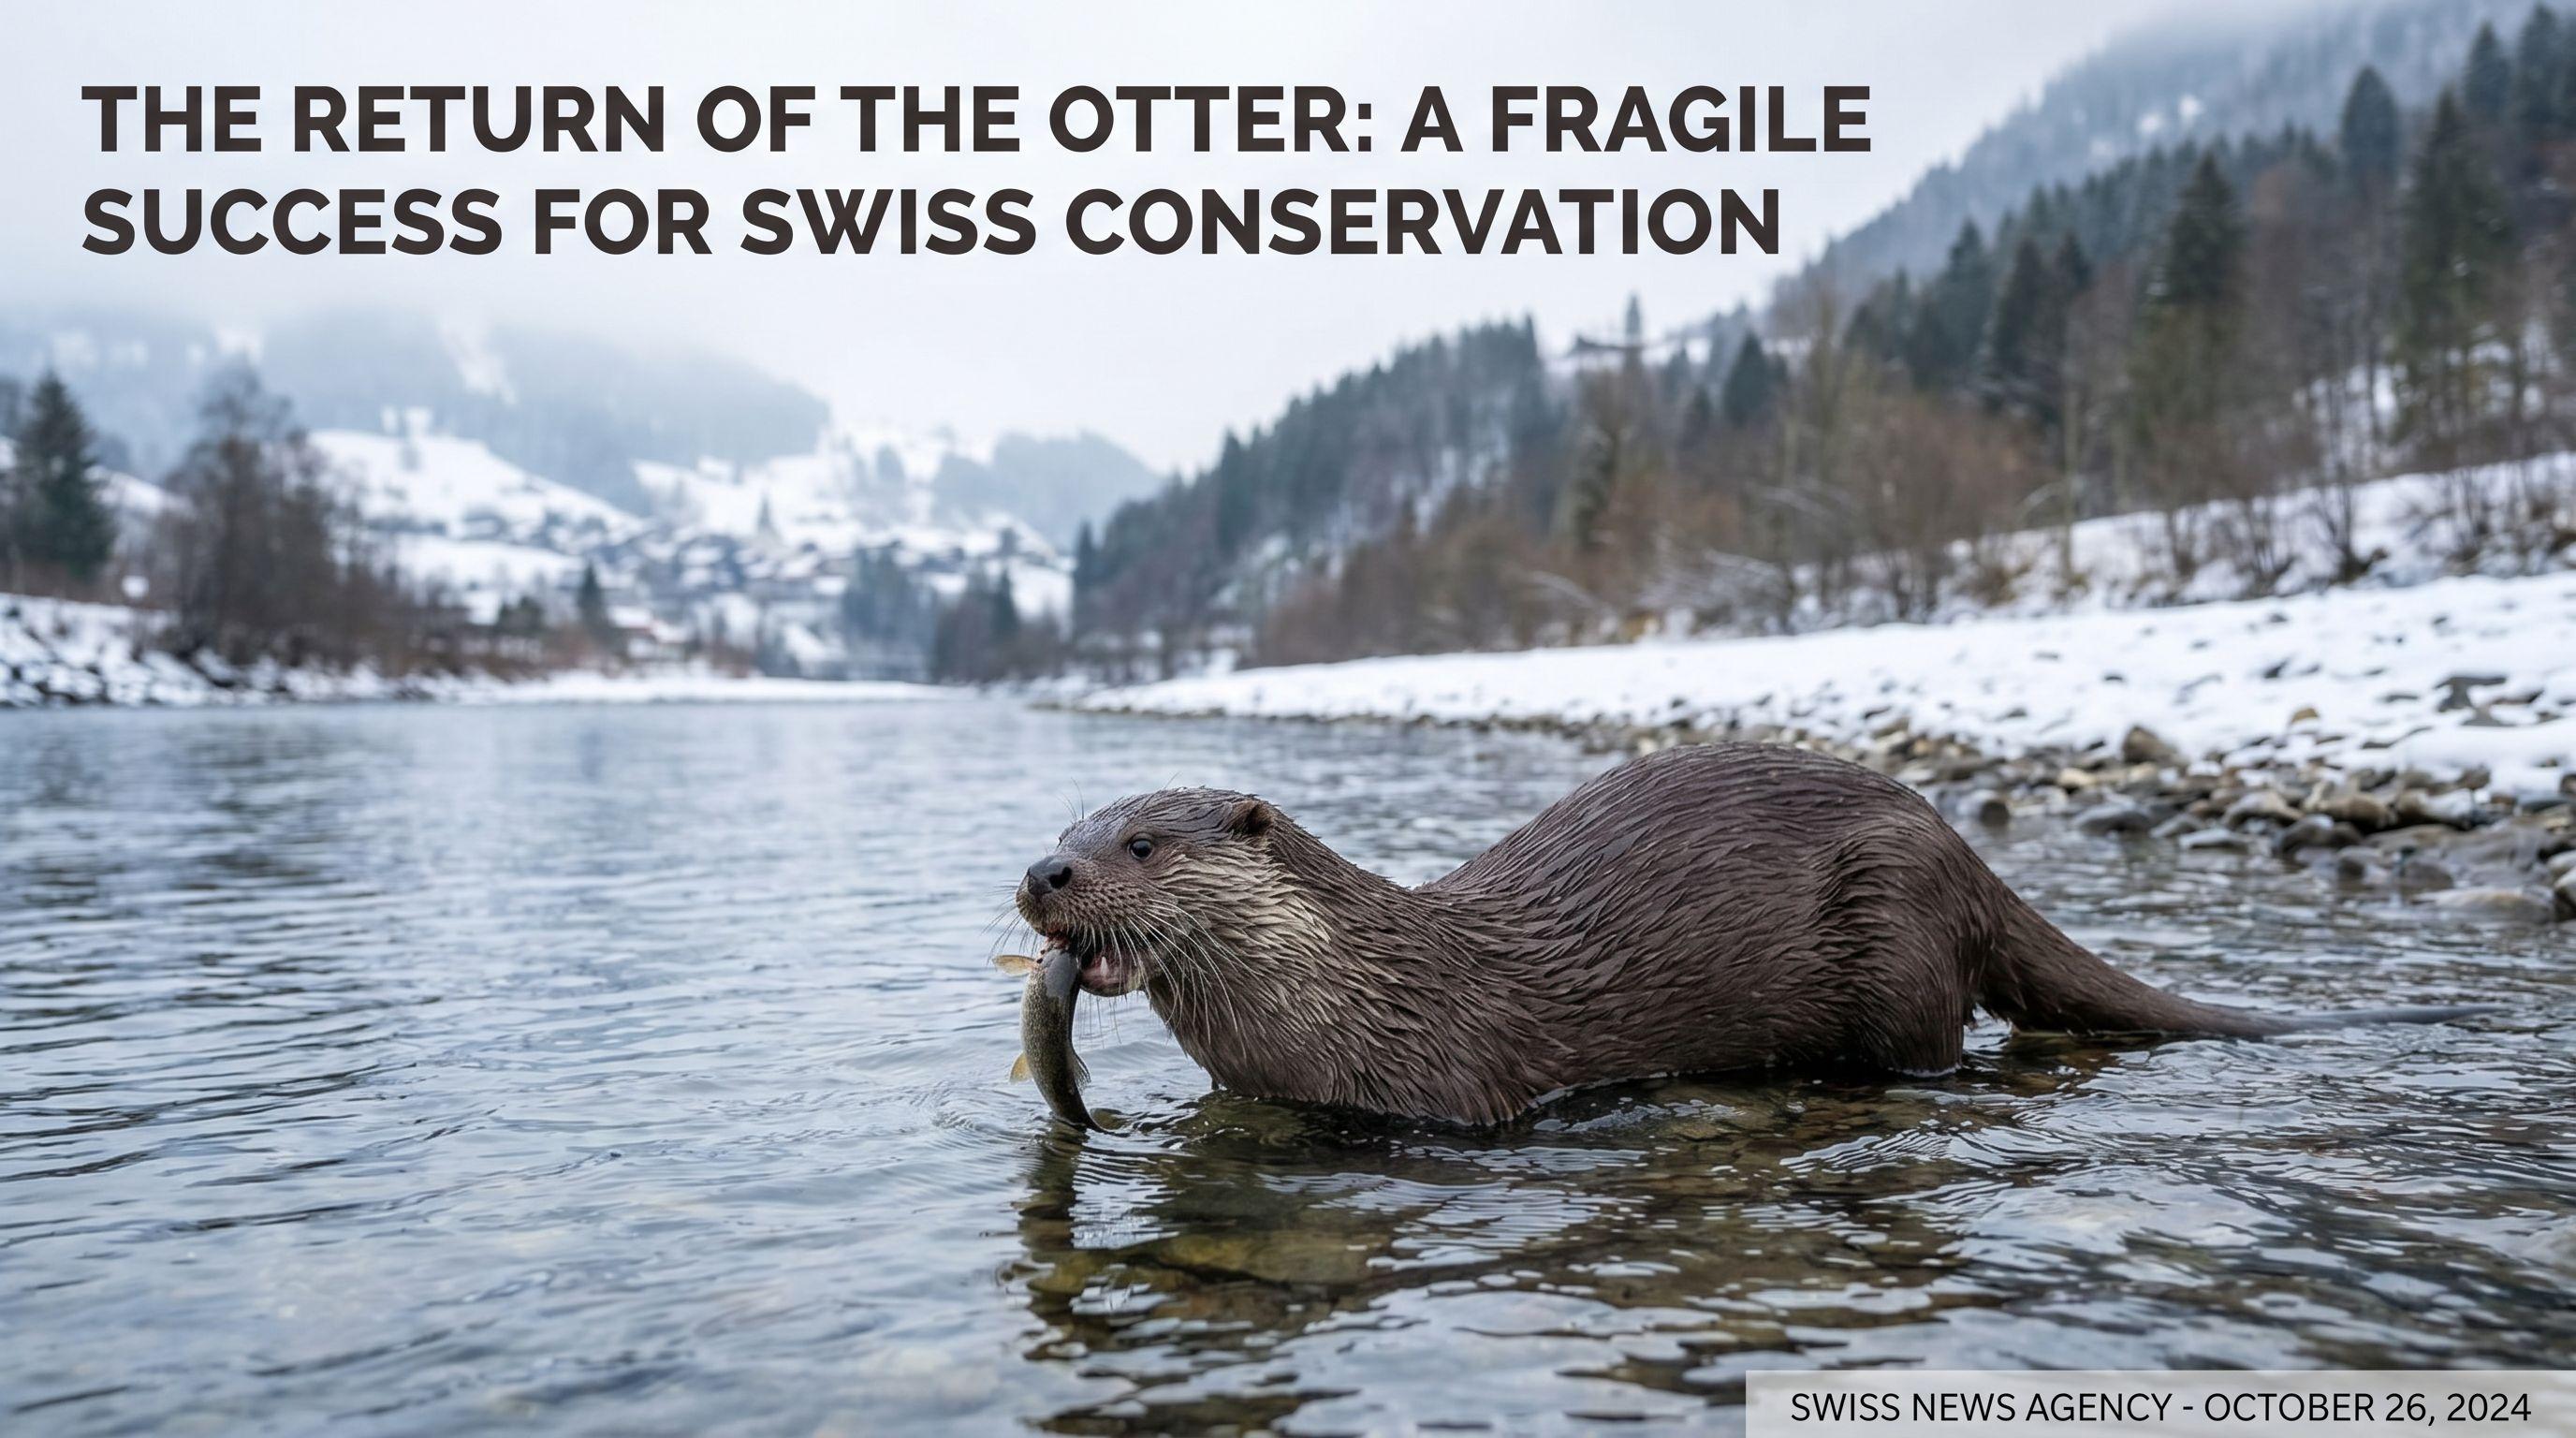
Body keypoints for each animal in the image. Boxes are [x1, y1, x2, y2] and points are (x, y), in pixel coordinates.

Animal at [1014, 743, 2485, 1125]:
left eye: (1139, 845)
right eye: (1072, 825)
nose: (1042, 873)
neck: (1364, 989)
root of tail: (1963, 850)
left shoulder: (1452, 1096)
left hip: (1896, 930)